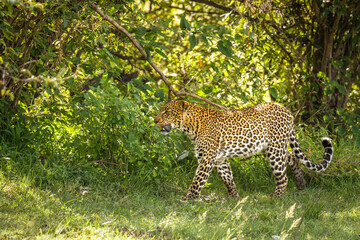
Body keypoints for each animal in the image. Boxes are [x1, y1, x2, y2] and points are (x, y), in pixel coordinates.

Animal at [153, 100, 334, 200]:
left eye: (167, 112)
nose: (154, 121)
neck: (190, 126)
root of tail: (287, 111)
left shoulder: (207, 158)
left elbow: (198, 180)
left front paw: (187, 198)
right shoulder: (219, 159)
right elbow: (227, 177)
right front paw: (234, 196)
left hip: (274, 150)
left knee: (283, 177)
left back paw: (275, 198)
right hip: (270, 148)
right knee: (292, 157)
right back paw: (301, 183)